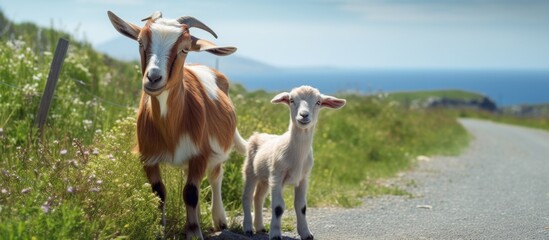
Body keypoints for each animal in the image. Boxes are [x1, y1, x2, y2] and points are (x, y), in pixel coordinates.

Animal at [108, 10, 245, 238]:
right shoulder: (148, 156)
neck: (170, 128)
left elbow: (190, 192)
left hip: (215, 153)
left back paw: (220, 220)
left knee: (215, 177)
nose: (154, 78)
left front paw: (193, 232)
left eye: (185, 48)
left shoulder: (200, 154)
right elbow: (159, 191)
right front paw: (159, 230)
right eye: (140, 42)